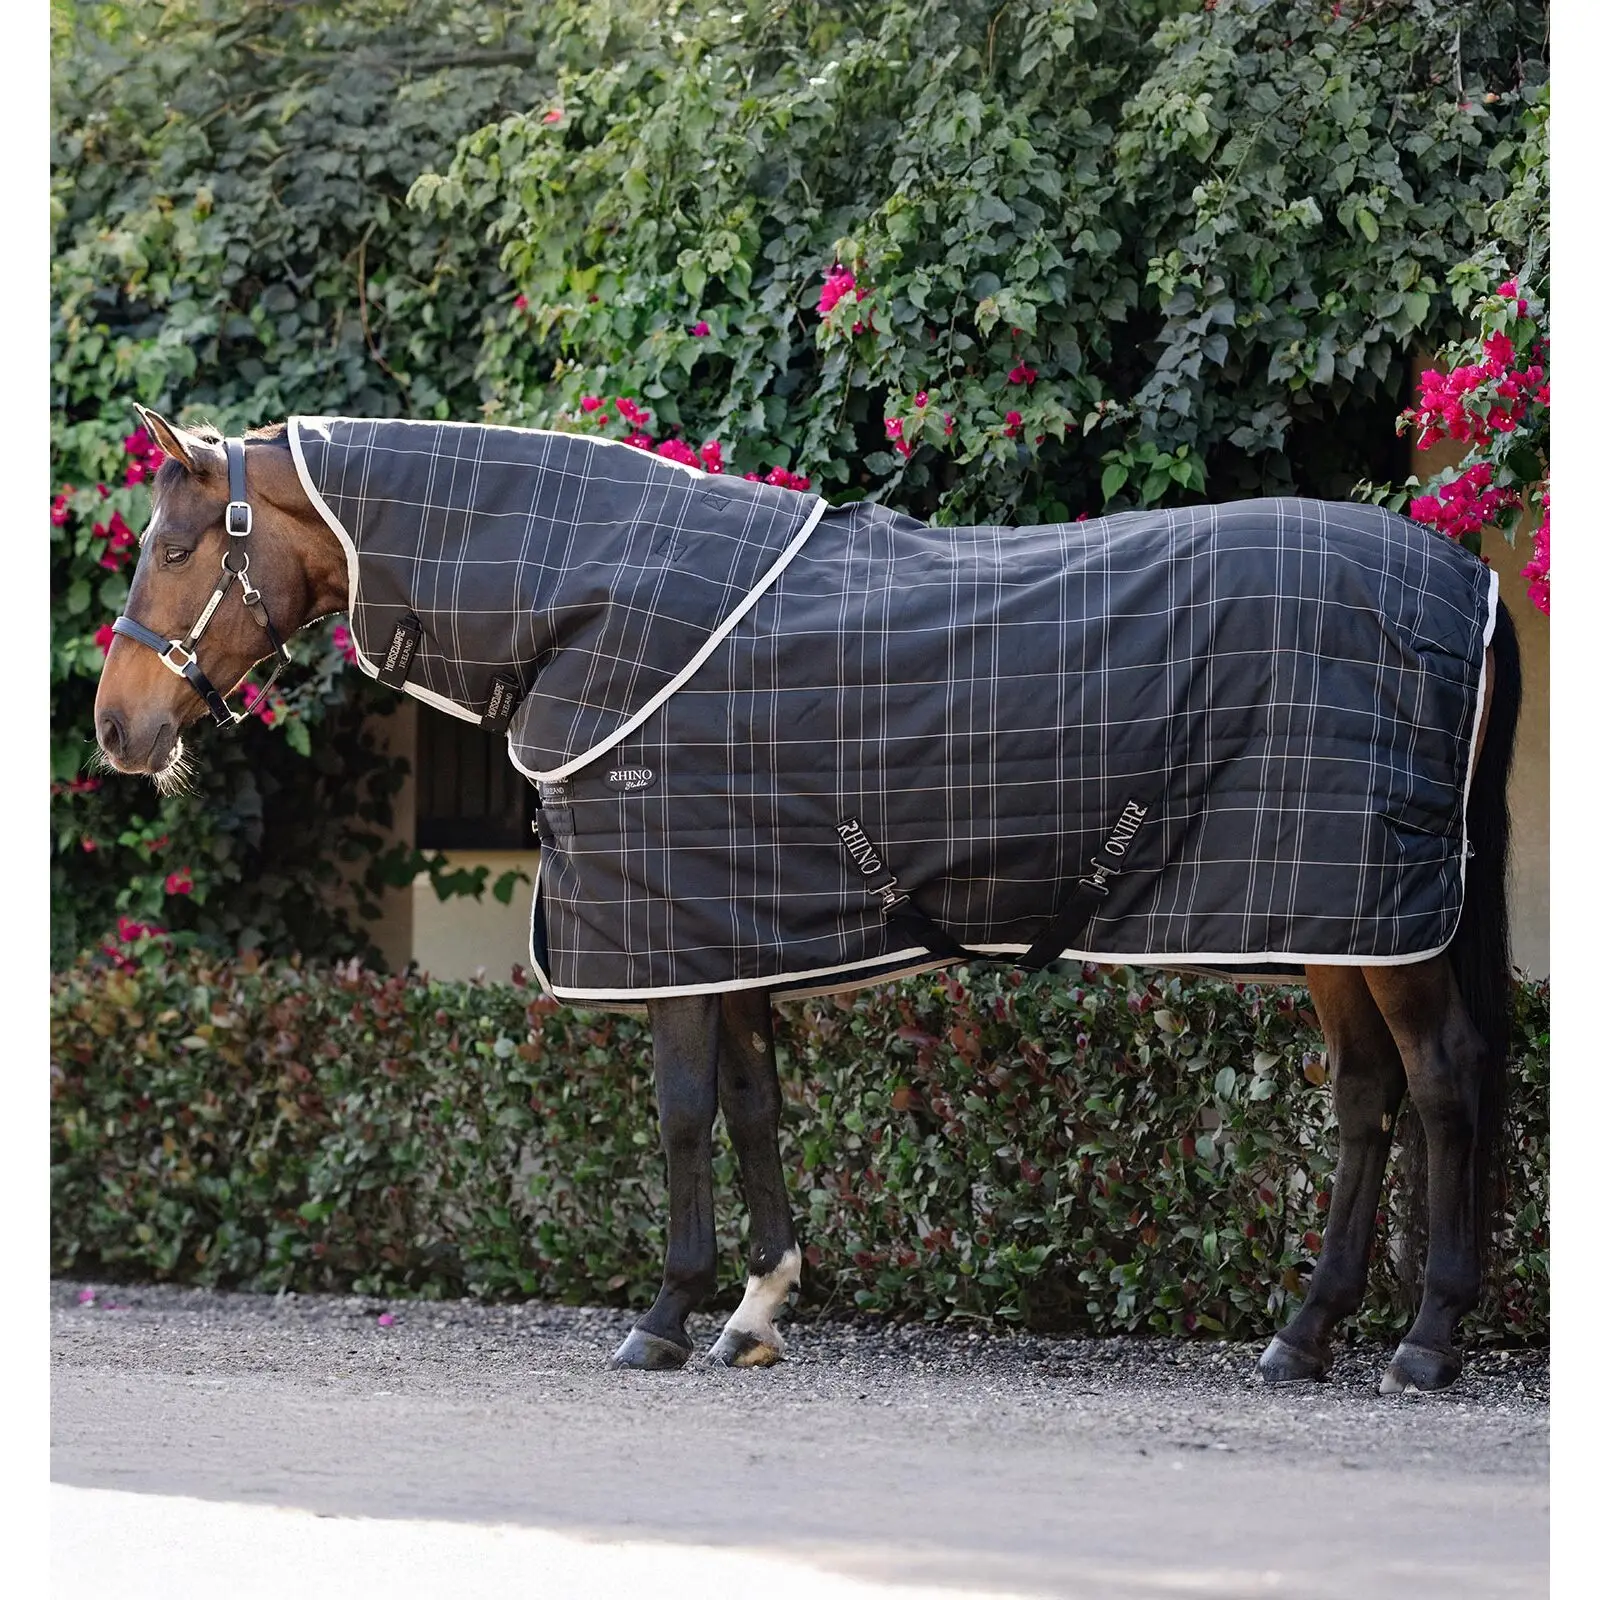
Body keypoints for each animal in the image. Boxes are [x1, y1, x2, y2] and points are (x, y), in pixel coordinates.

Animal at [92, 408, 1521, 1394]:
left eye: (173, 546)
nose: (117, 727)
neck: (587, 604)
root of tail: (1467, 586)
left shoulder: (669, 927)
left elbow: (680, 1114)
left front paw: (665, 1316)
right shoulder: (729, 929)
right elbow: (753, 1104)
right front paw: (758, 1307)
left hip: (1376, 925)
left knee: (1443, 1081)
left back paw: (1426, 1339)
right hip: (1333, 924)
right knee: (1366, 1100)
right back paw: (1307, 1333)